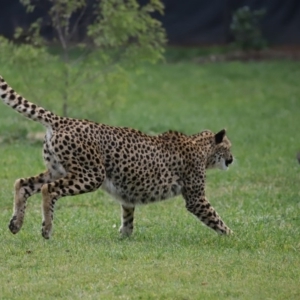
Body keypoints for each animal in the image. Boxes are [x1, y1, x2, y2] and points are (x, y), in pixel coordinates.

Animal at [0, 75, 234, 239]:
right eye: (229, 147)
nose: (232, 159)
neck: (202, 147)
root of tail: (64, 119)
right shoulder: (196, 198)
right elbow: (216, 218)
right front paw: (233, 237)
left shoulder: (128, 195)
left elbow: (128, 216)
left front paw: (124, 236)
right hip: (91, 175)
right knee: (48, 190)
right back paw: (46, 229)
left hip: (57, 170)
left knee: (23, 183)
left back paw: (15, 224)